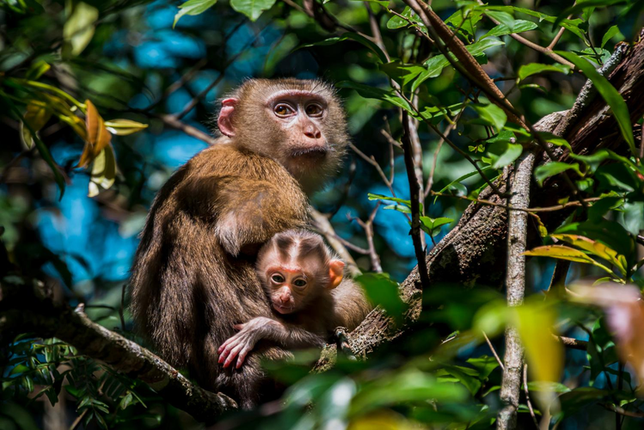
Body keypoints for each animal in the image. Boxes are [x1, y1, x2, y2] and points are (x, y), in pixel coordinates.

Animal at [129, 79, 350, 408]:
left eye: (314, 109)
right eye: (282, 110)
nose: (312, 131)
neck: (241, 146)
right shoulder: (270, 176)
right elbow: (239, 236)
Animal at [218, 230, 370, 368]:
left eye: (299, 282)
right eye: (278, 278)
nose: (284, 296)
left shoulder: (320, 307)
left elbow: (320, 345)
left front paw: (259, 327)